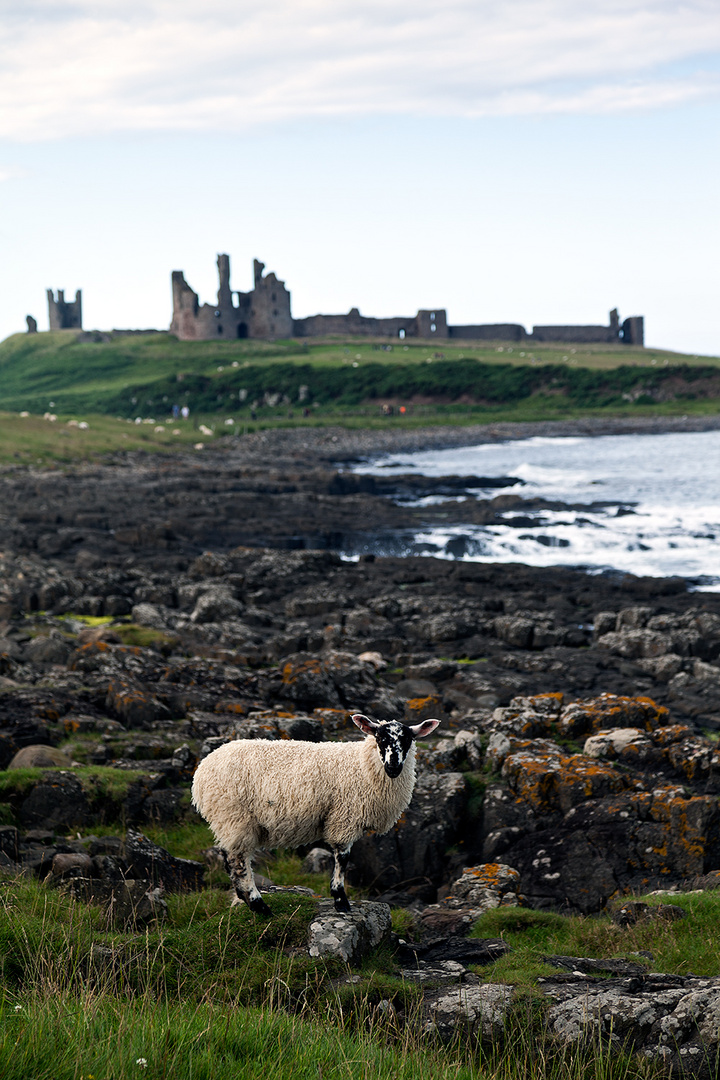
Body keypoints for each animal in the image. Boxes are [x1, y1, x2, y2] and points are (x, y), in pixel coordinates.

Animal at [189, 712, 440, 915]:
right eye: (380, 738)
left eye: (408, 739)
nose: (393, 767)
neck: (362, 765)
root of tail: (201, 772)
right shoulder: (345, 817)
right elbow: (342, 858)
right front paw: (340, 900)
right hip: (234, 816)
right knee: (238, 862)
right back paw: (260, 906)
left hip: (229, 820)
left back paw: (249, 902)